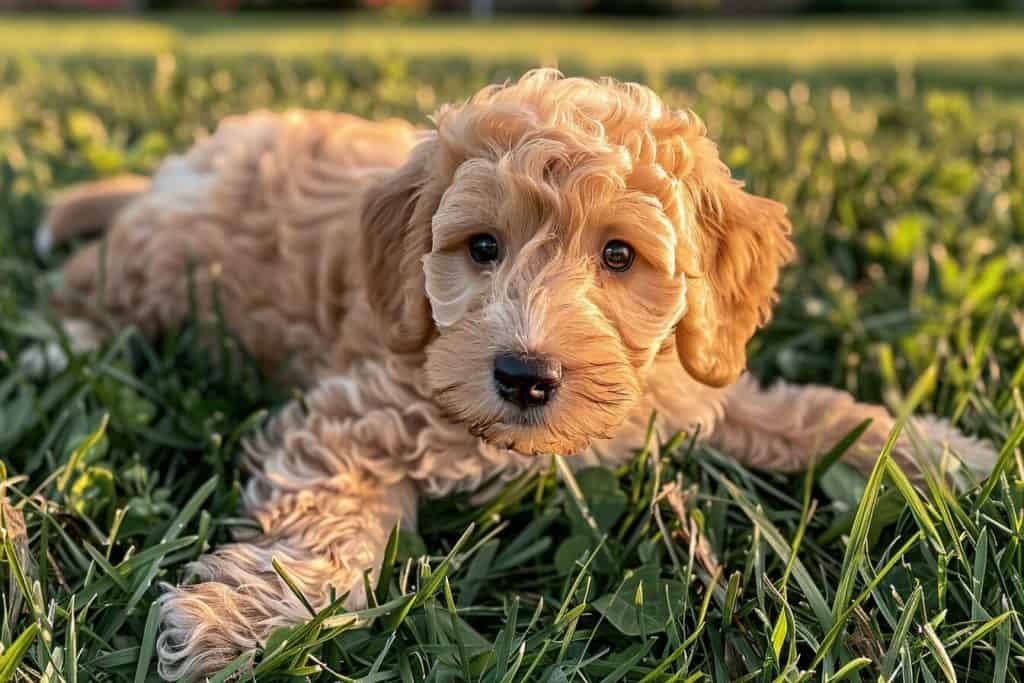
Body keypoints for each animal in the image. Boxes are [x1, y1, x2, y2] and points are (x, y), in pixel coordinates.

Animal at [36, 68, 995, 679]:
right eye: (482, 247)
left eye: (619, 255)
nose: (525, 375)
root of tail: (186, 163)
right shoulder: (355, 414)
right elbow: (328, 538)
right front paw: (243, 622)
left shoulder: (690, 385)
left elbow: (808, 413)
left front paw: (940, 453)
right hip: (167, 264)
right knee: (90, 280)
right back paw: (62, 336)